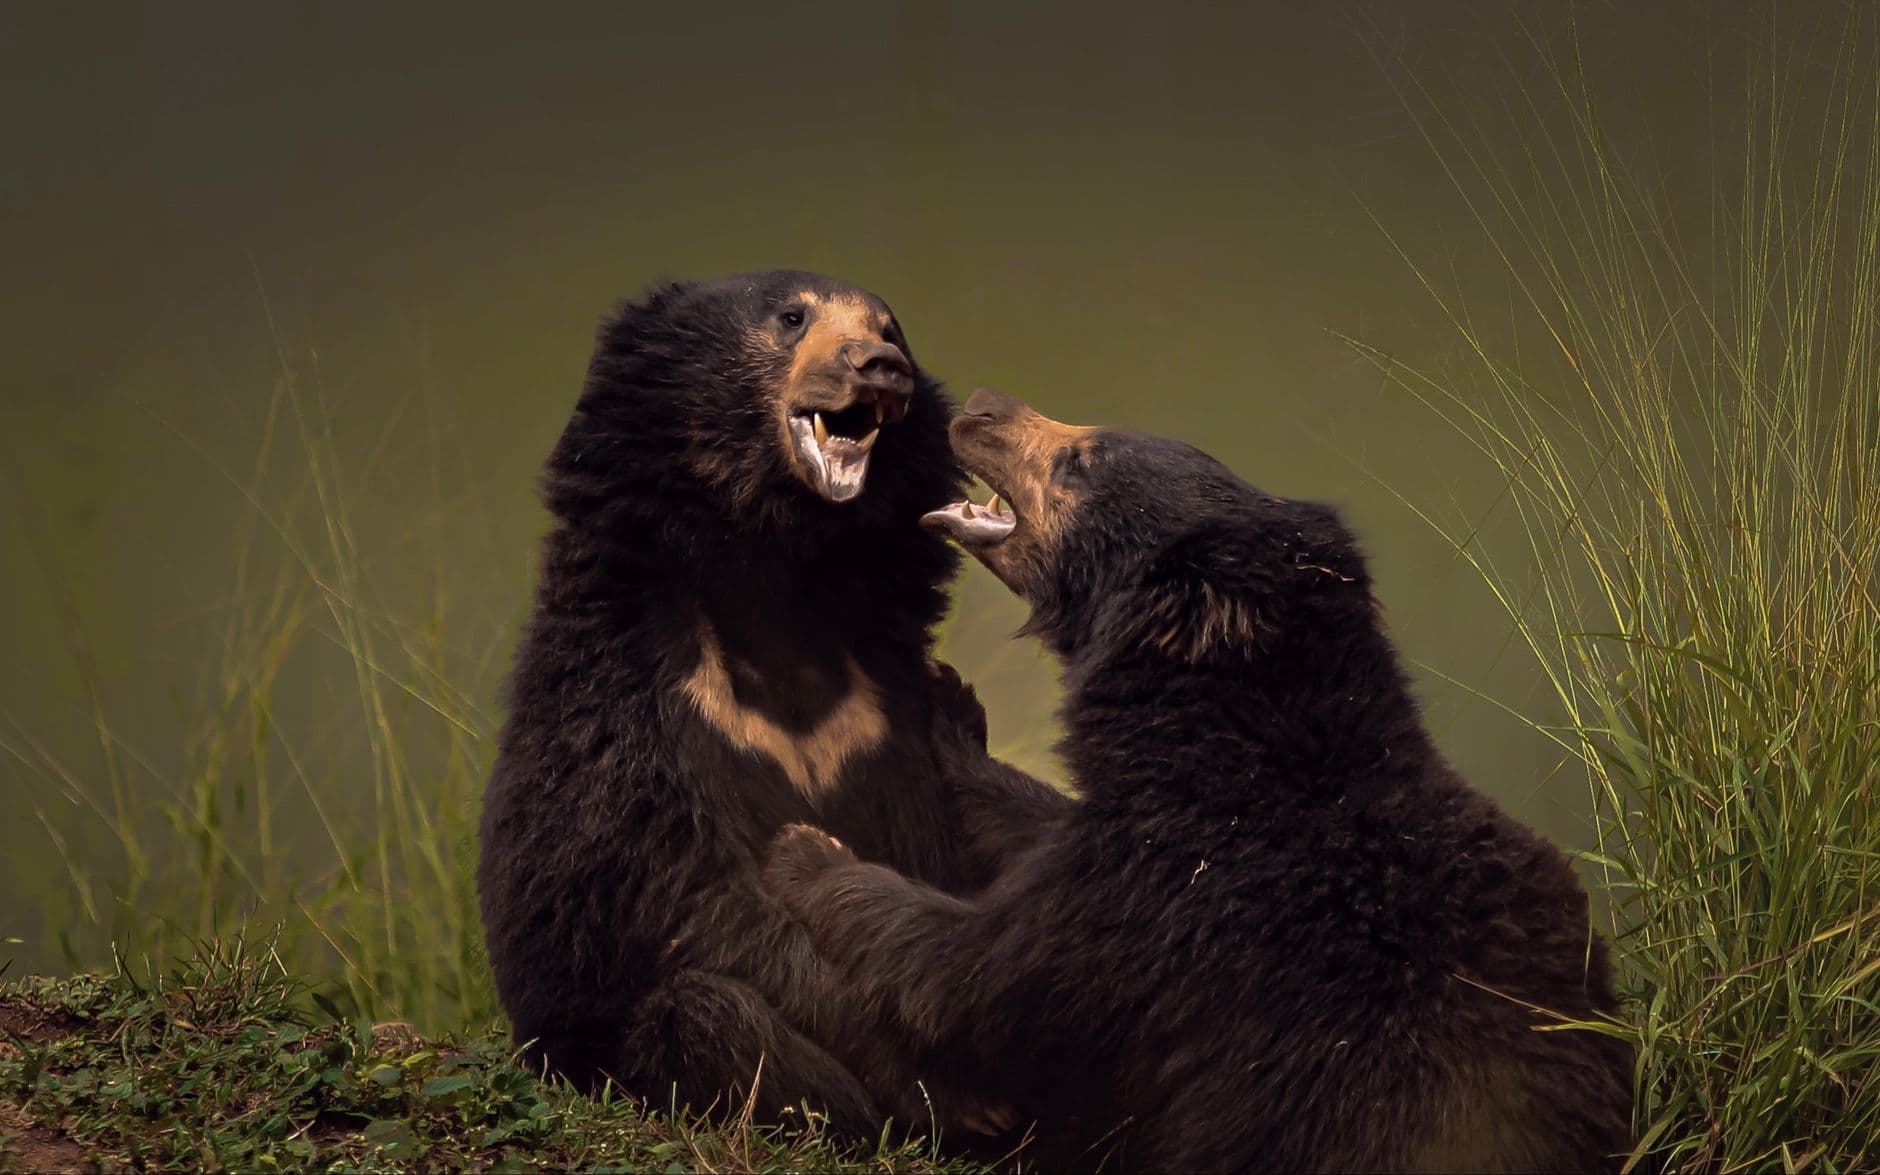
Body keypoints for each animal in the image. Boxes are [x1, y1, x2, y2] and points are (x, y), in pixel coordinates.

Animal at [476, 275, 1070, 1137]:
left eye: (890, 328)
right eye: (792, 316)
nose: (879, 366)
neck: (780, 580)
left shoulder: (884, 706)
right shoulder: (637, 708)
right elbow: (695, 900)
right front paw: (962, 1089)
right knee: (707, 1016)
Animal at [765, 388, 1636, 1172]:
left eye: (1083, 459)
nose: (978, 406)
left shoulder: (1169, 907)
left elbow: (976, 974)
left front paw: (808, 850)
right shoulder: (1135, 834)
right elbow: (1034, 825)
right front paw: (950, 710)